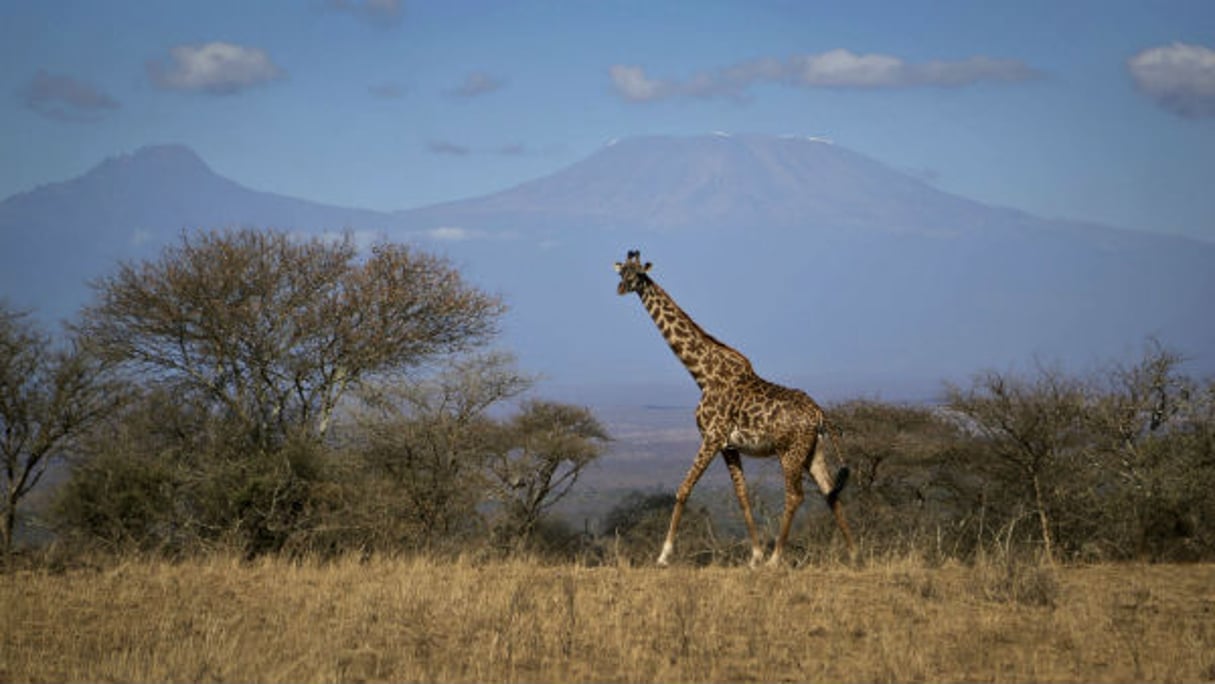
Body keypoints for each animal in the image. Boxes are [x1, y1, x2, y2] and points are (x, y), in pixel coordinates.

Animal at [607, 251, 855, 568]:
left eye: (638, 274)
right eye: (621, 272)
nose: (621, 288)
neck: (702, 373)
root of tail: (821, 415)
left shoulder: (711, 437)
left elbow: (683, 489)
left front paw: (663, 556)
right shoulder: (729, 445)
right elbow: (742, 496)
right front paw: (754, 556)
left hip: (790, 452)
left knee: (795, 496)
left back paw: (776, 559)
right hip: (813, 451)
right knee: (830, 492)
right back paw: (853, 554)